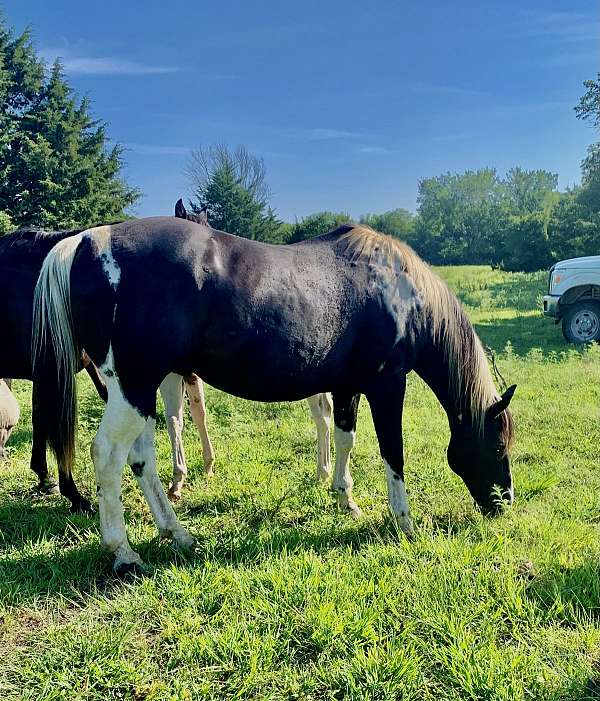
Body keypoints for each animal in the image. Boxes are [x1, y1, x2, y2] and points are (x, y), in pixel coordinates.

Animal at [31, 219, 516, 576]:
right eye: (497, 446)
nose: (505, 502)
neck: (396, 287)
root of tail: (86, 242)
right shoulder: (387, 386)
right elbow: (392, 453)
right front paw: (404, 523)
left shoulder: (346, 386)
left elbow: (345, 439)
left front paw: (344, 497)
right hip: (134, 387)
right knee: (108, 455)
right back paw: (123, 552)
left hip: (143, 388)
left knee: (141, 460)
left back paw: (177, 533)